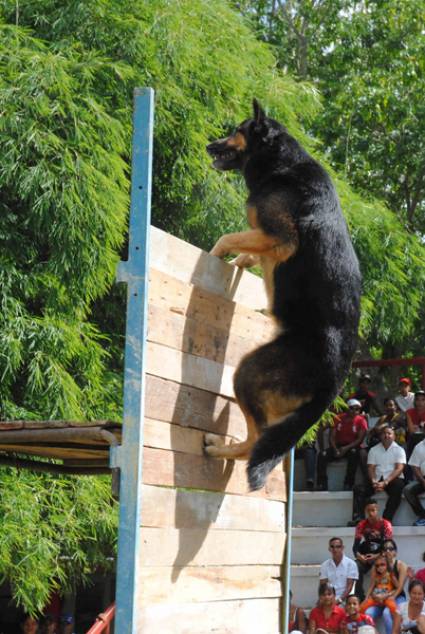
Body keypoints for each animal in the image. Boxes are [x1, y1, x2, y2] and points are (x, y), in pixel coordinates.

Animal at [204, 99, 360, 492]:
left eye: (237, 130)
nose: (210, 145)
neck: (281, 163)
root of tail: (333, 385)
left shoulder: (278, 238)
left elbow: (227, 237)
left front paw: (214, 256)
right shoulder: (265, 243)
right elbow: (247, 252)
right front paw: (238, 263)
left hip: (247, 373)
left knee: (254, 443)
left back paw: (219, 448)